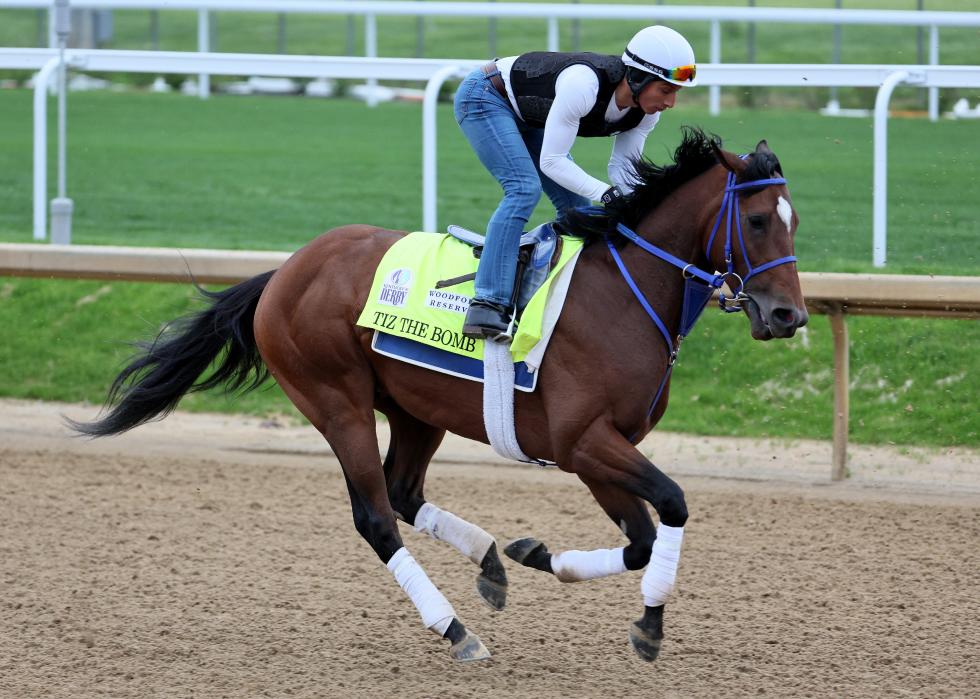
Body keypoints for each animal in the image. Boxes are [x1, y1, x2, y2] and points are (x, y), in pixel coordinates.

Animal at [71, 129, 804, 664]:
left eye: (793, 222)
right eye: (757, 219)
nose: (788, 315)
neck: (624, 296)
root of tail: (285, 271)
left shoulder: (599, 448)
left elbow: (643, 539)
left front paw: (541, 557)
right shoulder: (584, 440)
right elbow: (672, 505)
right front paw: (649, 623)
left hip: (417, 410)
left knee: (403, 491)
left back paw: (490, 559)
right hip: (335, 400)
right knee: (376, 516)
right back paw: (455, 629)